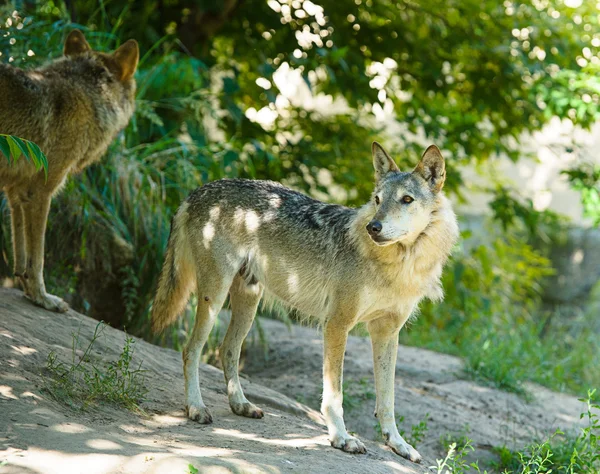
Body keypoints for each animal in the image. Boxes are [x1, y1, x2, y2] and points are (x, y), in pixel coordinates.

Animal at [0, 28, 137, 312]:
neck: (90, 98)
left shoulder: (16, 193)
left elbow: (21, 254)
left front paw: (28, 291)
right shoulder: (40, 193)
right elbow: (38, 258)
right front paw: (43, 298)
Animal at [151, 143, 460, 462]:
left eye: (406, 199)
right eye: (377, 200)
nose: (373, 227)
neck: (397, 265)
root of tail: (198, 190)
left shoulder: (387, 333)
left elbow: (387, 399)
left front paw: (397, 443)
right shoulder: (337, 324)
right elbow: (334, 395)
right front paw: (341, 438)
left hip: (248, 303)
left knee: (227, 350)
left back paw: (241, 404)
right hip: (214, 296)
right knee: (190, 350)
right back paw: (196, 408)